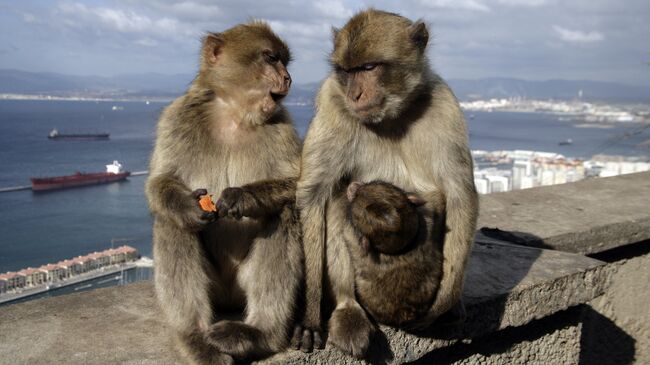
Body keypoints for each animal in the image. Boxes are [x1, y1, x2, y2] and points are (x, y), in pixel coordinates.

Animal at [144, 21, 302, 362]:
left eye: (284, 61)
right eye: (271, 58)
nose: (288, 78)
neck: (234, 113)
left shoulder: (282, 125)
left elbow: (300, 184)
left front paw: (243, 197)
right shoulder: (176, 118)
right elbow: (159, 182)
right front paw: (186, 206)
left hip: (241, 285)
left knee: (282, 214)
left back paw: (259, 333)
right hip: (215, 290)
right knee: (172, 223)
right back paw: (194, 335)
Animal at [344, 181, 446, 326]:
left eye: (353, 204)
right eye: (376, 182)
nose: (354, 185)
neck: (401, 250)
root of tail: (406, 313)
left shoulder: (352, 238)